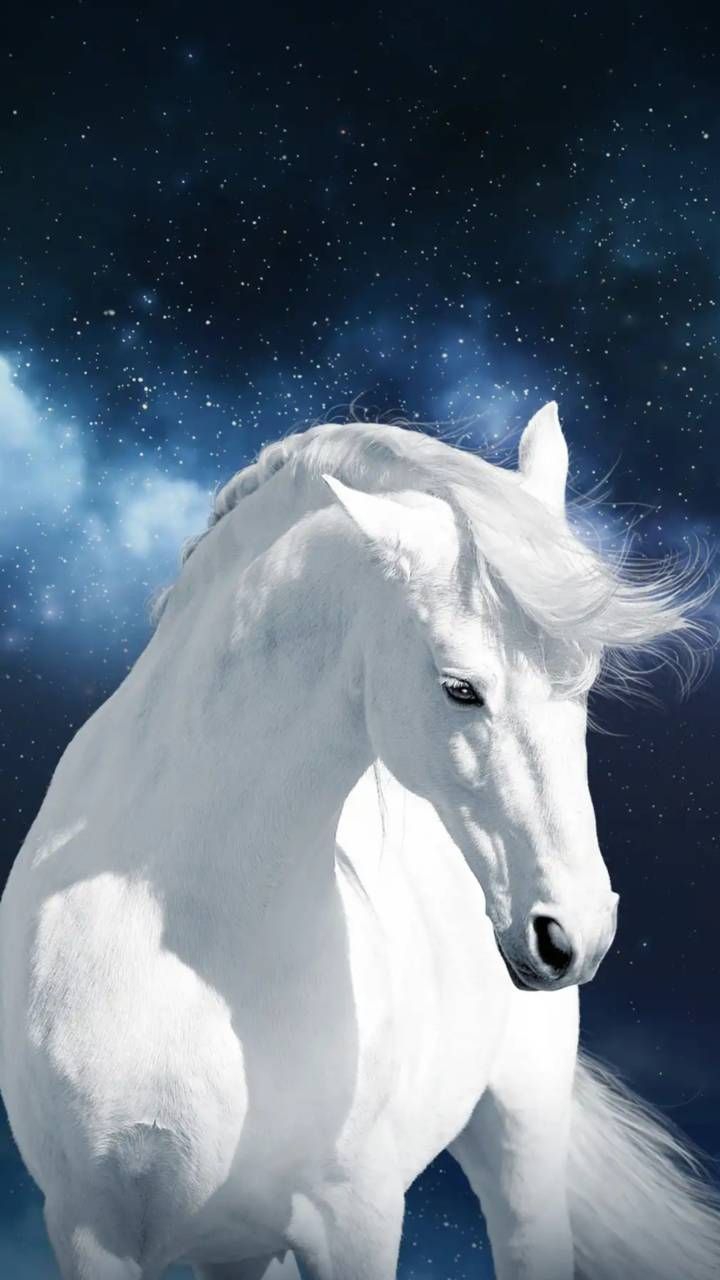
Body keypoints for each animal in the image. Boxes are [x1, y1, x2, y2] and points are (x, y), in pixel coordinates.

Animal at [1, 402, 718, 1280]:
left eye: (584, 682)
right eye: (459, 688)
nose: (574, 934)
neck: (193, 937)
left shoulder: (356, 1218)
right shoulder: (92, 1228)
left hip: (521, 1132)